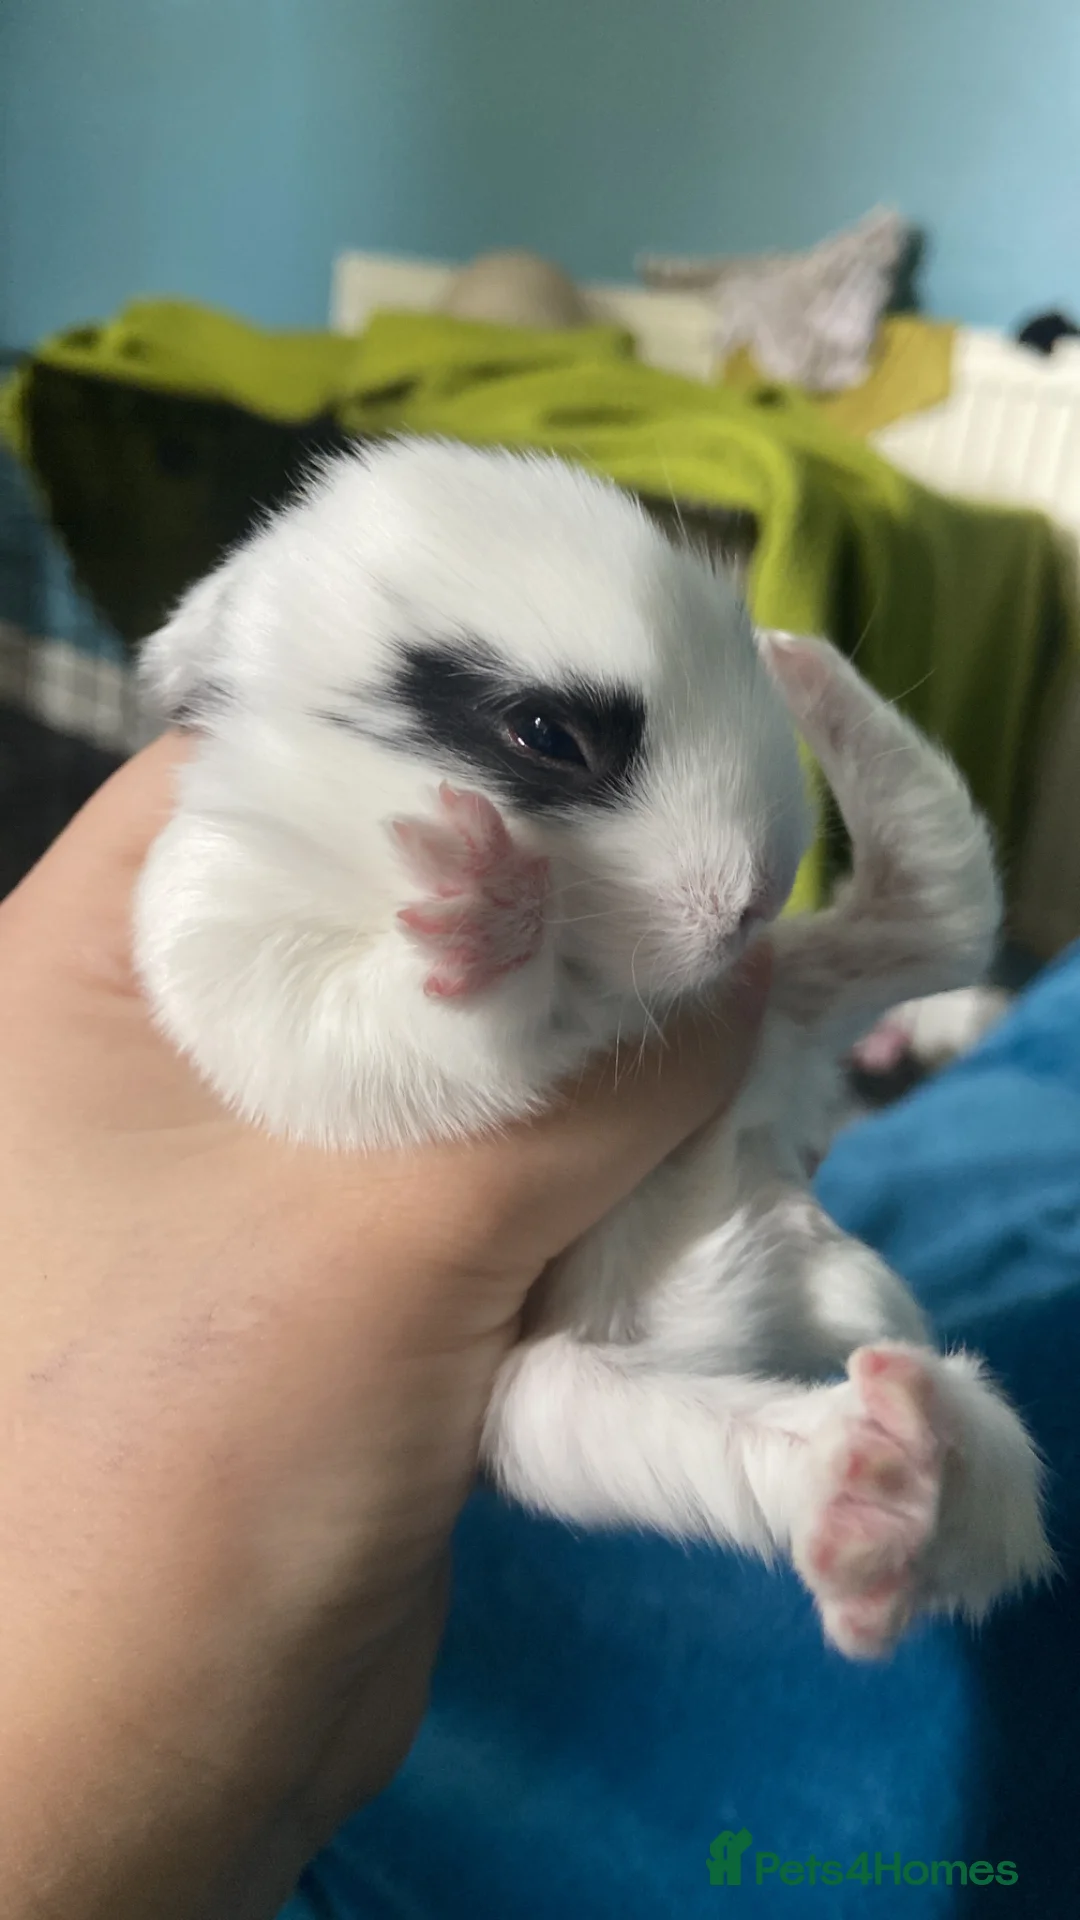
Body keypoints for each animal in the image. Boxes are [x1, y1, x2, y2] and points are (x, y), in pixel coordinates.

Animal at [134, 438, 1050, 1660]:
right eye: (548, 738)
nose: (755, 904)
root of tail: (748, 1292)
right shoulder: (231, 948)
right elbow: (397, 1026)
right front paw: (483, 902)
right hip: (550, 1411)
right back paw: (887, 1484)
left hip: (797, 1009)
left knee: (938, 901)